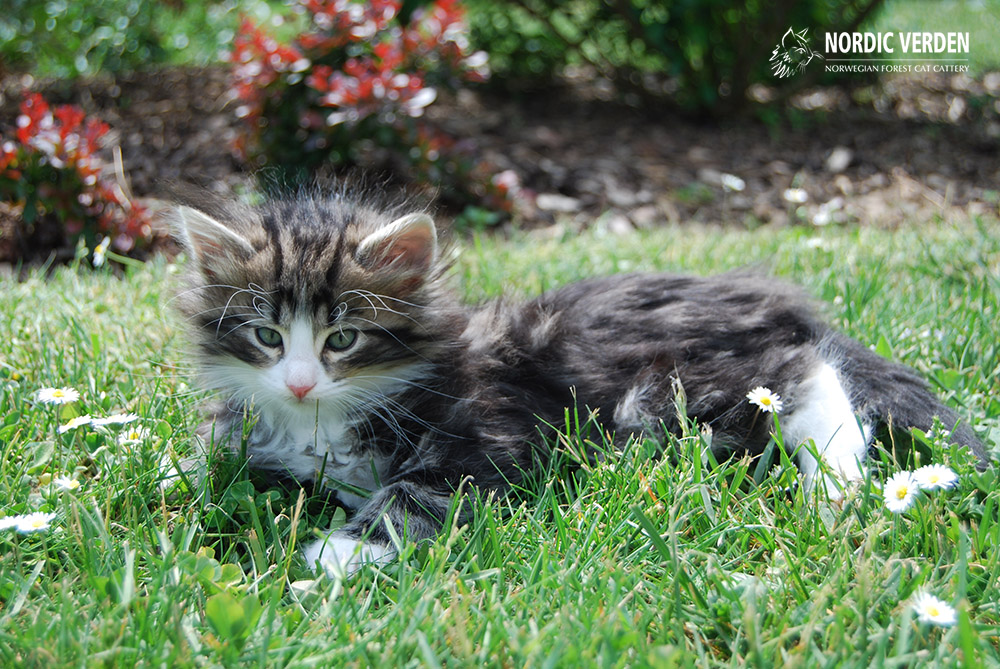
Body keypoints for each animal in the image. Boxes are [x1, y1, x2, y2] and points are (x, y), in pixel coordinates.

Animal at [170, 186, 989, 577]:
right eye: (266, 336)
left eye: (343, 338)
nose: (301, 384)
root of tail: (767, 302)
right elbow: (224, 455)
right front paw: (186, 477)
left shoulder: (488, 434)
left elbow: (413, 495)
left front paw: (336, 555)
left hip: (671, 389)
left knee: (812, 374)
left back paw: (837, 488)